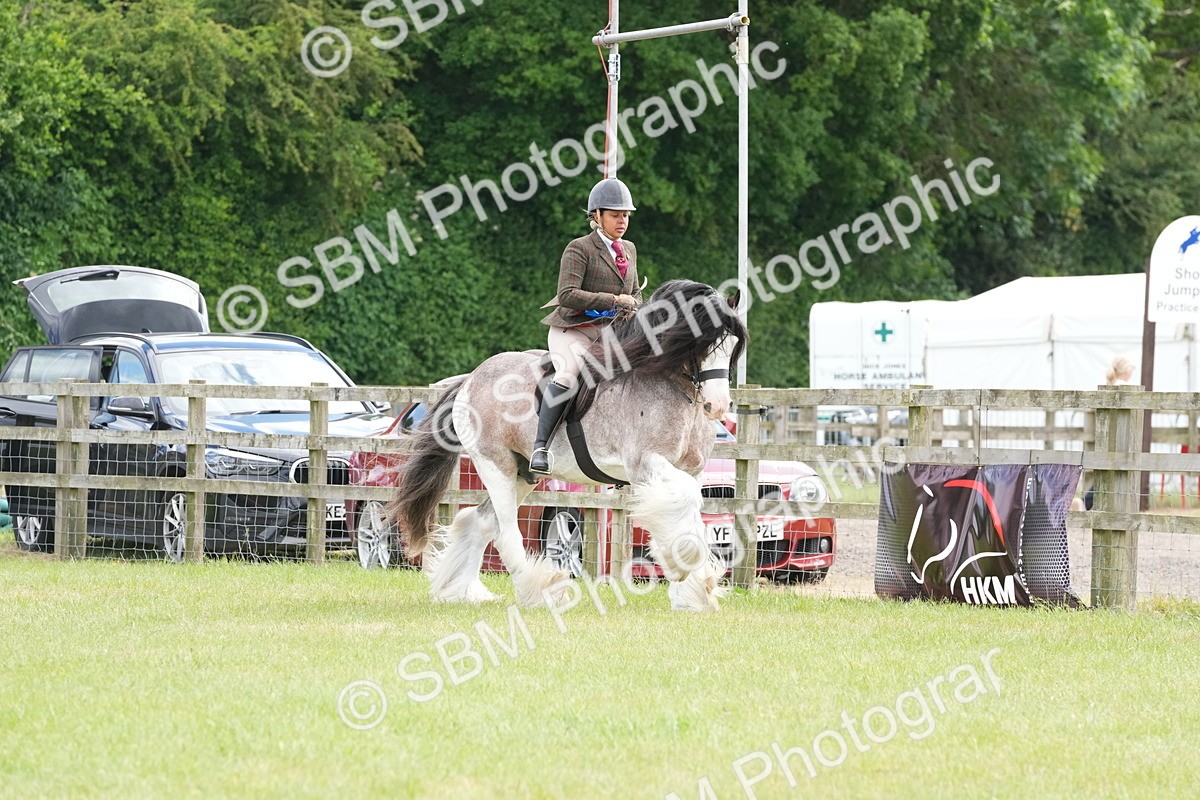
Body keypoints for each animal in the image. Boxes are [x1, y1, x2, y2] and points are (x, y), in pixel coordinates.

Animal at [391, 279, 748, 612]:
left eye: (732, 346)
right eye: (702, 344)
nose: (717, 406)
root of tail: (471, 378)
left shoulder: (691, 469)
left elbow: (689, 511)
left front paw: (692, 597)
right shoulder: (645, 463)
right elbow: (685, 502)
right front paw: (683, 567)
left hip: (523, 474)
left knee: (479, 523)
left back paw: (460, 592)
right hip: (495, 466)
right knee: (506, 532)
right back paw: (540, 593)